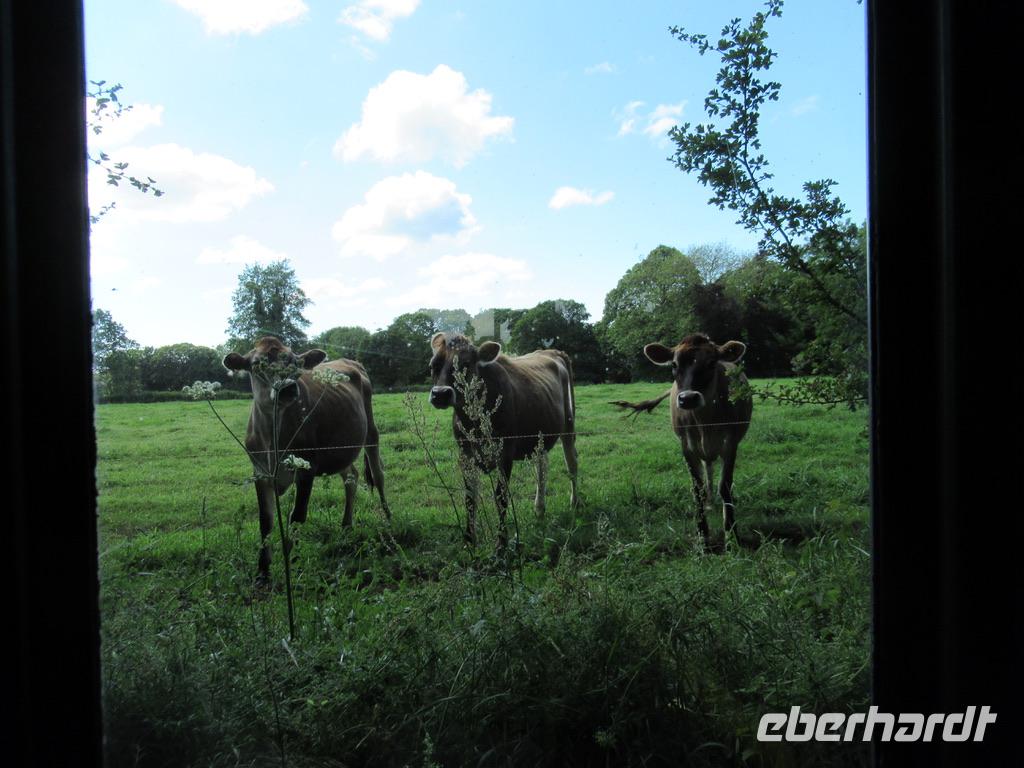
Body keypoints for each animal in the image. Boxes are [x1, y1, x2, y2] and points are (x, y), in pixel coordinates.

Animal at [223, 336, 390, 584]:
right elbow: (265, 520)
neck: (273, 441)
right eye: (256, 364)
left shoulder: (307, 468)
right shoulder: (260, 473)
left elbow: (297, 516)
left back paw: (388, 518)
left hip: (371, 430)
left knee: (378, 475)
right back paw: (346, 525)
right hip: (340, 448)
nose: (287, 388)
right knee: (351, 476)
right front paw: (262, 571)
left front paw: (290, 560)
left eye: (295, 363)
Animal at [427, 333, 579, 547]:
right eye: (433, 365)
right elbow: (469, 497)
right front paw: (469, 539)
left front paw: (501, 543)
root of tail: (552, 351)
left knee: (571, 463)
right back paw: (539, 509)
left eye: (466, 363)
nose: (440, 394)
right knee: (541, 467)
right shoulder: (465, 454)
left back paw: (575, 502)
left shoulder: (504, 453)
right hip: (539, 435)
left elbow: (501, 497)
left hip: (568, 425)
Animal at [611, 333, 752, 545]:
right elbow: (697, 489)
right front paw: (702, 533)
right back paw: (709, 501)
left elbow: (726, 486)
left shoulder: (731, 443)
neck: (704, 422)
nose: (688, 398)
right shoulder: (686, 446)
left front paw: (731, 532)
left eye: (712, 363)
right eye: (674, 364)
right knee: (708, 469)